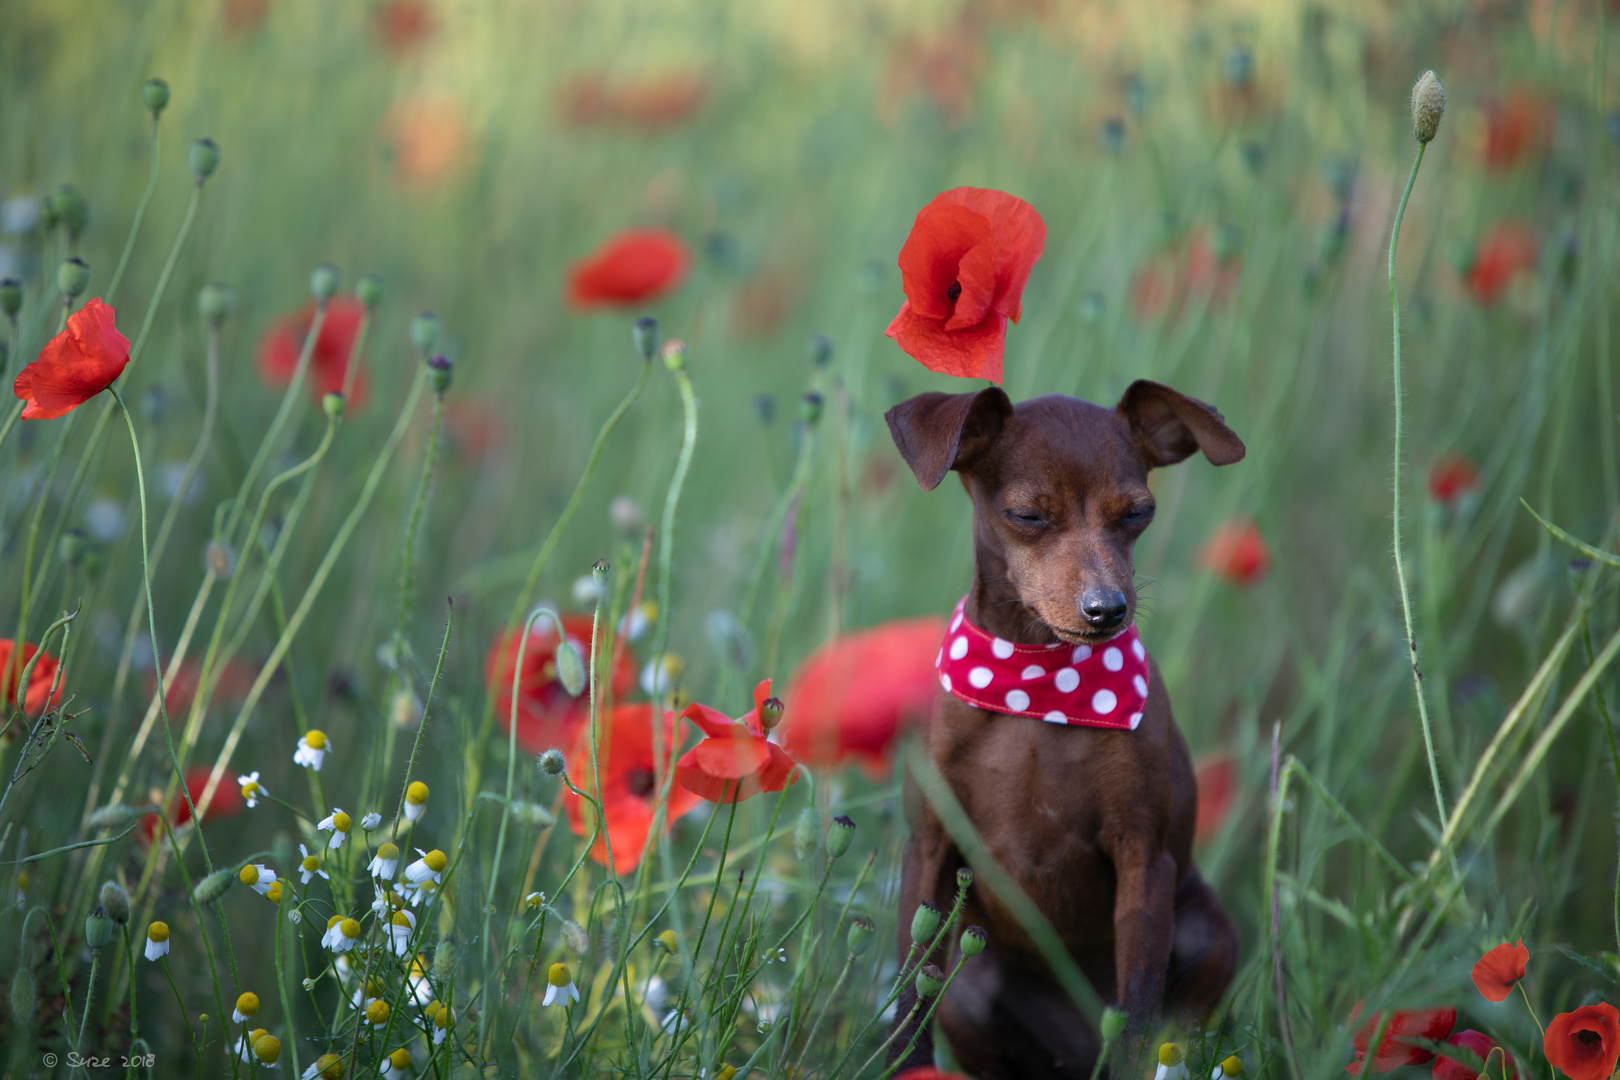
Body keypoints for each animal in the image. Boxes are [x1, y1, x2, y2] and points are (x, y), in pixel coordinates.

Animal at [887, 382, 1237, 1080]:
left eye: (1138, 513)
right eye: (1026, 515)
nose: (1105, 609)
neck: (1041, 689)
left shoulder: (1144, 861)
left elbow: (1135, 1019)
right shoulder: (931, 849)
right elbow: (909, 1001)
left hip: (1208, 935)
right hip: (969, 991)